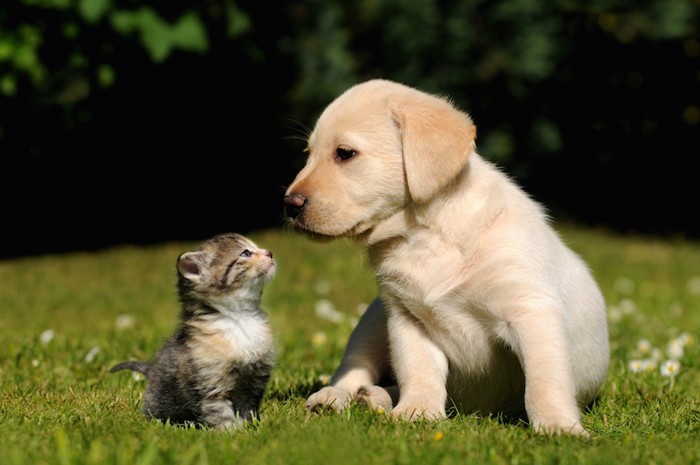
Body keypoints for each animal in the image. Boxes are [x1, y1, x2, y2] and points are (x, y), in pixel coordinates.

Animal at [110, 232, 278, 432]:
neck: (239, 318)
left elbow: (247, 408)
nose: (270, 253)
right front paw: (231, 433)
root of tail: (151, 370)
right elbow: (220, 413)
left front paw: (251, 428)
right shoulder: (211, 385)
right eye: (245, 253)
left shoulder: (254, 381)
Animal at [282, 79, 608, 436]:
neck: (425, 234)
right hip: (373, 321)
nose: (289, 204)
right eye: (308, 154)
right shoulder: (407, 318)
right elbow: (419, 370)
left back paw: (374, 397)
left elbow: (544, 381)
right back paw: (339, 397)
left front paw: (558, 427)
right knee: (353, 369)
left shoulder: (531, 311)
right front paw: (417, 412)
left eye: (345, 153)